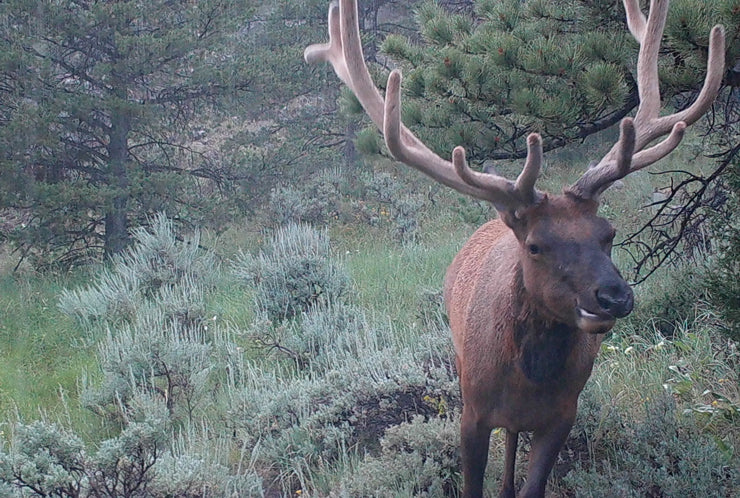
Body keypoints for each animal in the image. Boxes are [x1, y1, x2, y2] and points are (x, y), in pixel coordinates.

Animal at [305, 0, 725, 496]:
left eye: (608, 232)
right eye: (536, 245)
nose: (614, 296)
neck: (530, 382)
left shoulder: (563, 415)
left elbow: (532, 486)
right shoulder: (471, 412)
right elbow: (473, 483)